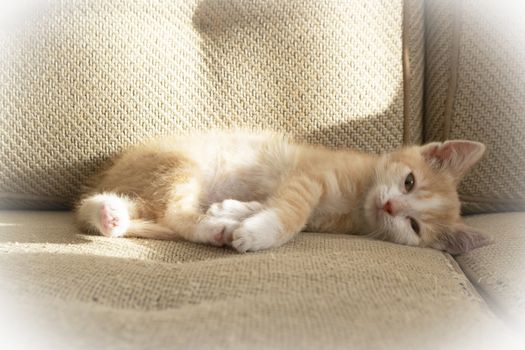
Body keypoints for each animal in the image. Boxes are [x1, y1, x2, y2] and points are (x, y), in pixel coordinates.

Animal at [75, 132, 490, 254]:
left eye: (414, 226)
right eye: (409, 182)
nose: (389, 205)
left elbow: (264, 204)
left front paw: (234, 211)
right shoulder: (308, 176)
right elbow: (292, 212)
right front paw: (258, 232)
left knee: (137, 215)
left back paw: (110, 216)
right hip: (180, 166)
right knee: (172, 214)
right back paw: (211, 229)